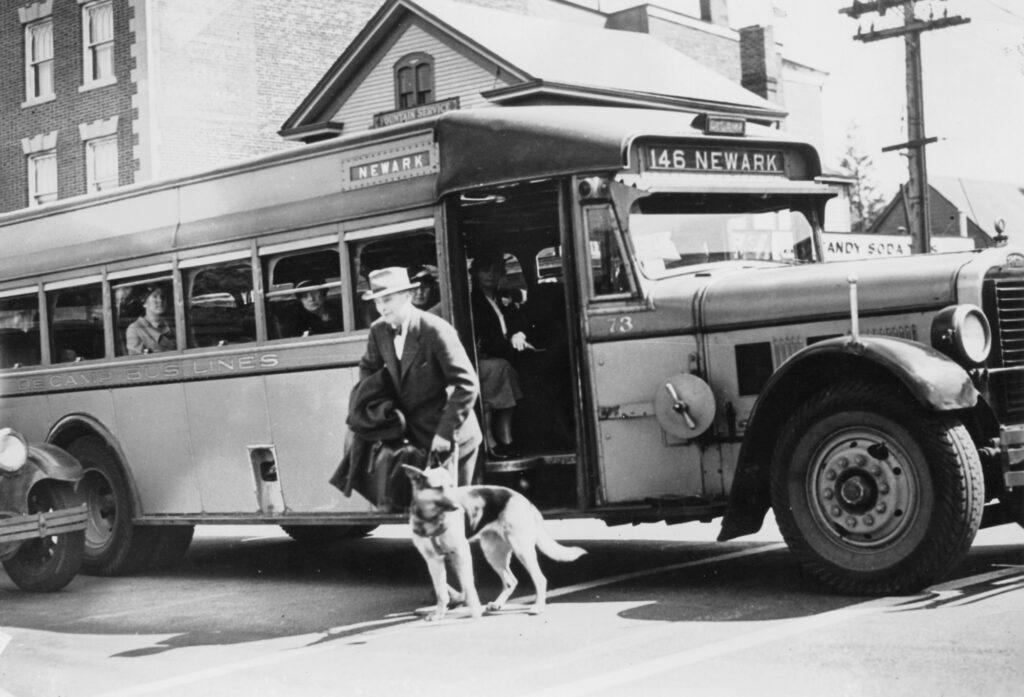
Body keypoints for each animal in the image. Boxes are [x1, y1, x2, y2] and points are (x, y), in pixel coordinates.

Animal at [403, 462, 589, 618]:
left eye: (451, 486)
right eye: (438, 488)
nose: (458, 507)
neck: (431, 519)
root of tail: (522, 498)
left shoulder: (462, 554)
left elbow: (469, 586)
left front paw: (475, 612)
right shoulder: (433, 561)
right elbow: (441, 592)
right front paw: (439, 614)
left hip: (522, 550)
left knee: (540, 579)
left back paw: (538, 607)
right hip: (492, 553)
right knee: (510, 581)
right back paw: (498, 604)